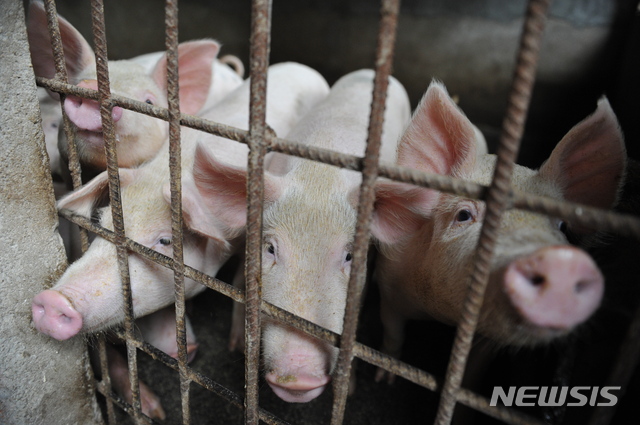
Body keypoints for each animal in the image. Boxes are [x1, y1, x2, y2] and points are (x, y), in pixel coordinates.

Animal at [370, 79, 624, 380]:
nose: (564, 261)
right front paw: (385, 378)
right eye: (464, 215)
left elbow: (474, 367)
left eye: (562, 225)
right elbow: (392, 334)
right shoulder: (390, 286)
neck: (443, 315)